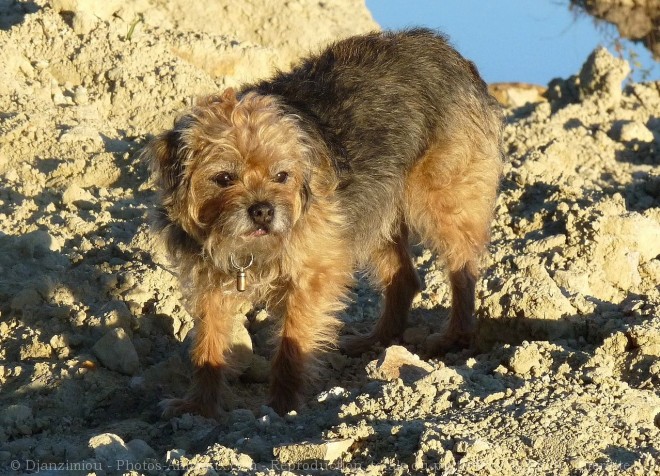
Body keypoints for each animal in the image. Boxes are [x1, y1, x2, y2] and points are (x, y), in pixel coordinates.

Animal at [144, 28, 502, 416]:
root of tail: (445, 48)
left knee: (462, 269)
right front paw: (198, 406)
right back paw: (377, 340)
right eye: (224, 178)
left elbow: (291, 345)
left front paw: (281, 407)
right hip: (373, 216)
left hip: (442, 203)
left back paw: (455, 337)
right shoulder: (209, 283)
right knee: (404, 278)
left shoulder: (312, 276)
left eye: (281, 176)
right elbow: (208, 345)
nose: (262, 210)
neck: (249, 248)